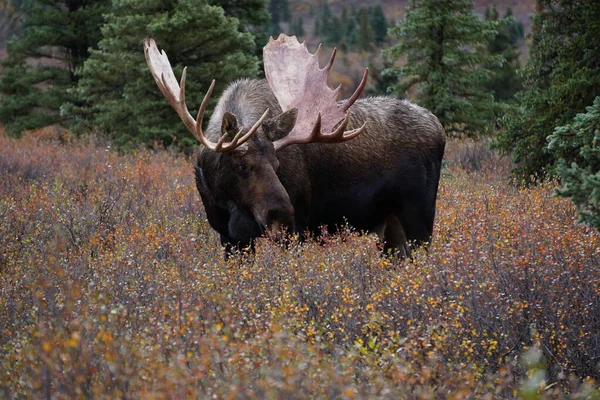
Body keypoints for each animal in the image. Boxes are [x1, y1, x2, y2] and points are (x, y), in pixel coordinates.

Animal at [145, 36, 446, 258]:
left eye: (277, 164)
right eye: (242, 166)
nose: (282, 212)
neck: (229, 203)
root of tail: (439, 127)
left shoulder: (296, 231)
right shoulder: (228, 237)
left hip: (420, 215)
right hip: (389, 226)